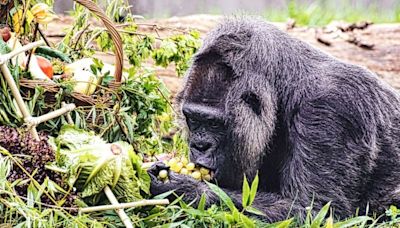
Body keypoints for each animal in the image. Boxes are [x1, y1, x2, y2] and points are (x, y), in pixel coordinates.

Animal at [148, 18, 400, 223]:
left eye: (213, 123)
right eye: (193, 119)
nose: (199, 146)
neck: (286, 88)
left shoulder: (332, 110)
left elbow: (316, 211)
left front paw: (184, 189)